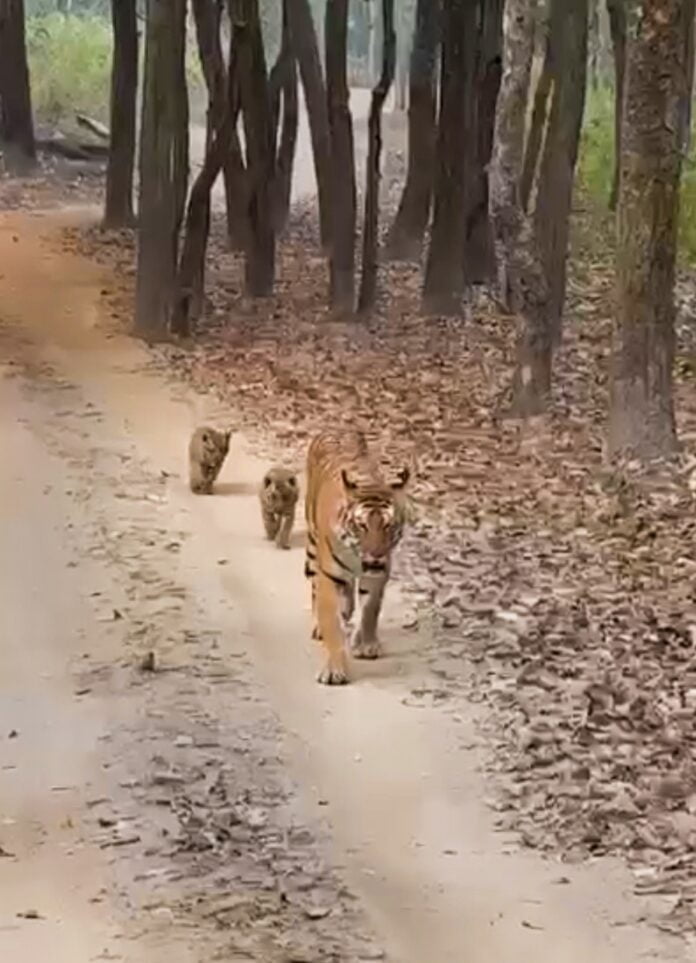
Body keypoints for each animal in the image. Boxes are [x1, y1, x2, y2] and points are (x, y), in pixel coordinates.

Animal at [304, 430, 410, 684]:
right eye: (362, 525)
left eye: (389, 525)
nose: (376, 555)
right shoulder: (329, 576)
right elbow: (332, 624)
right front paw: (334, 670)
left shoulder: (377, 574)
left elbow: (370, 610)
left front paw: (367, 645)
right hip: (312, 546)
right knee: (314, 587)